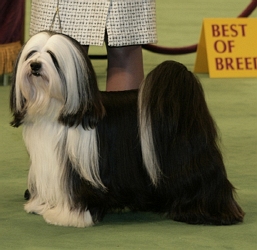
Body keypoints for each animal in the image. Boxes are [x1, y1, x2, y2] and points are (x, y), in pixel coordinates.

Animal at [9, 30, 242, 227]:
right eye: (32, 54)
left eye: (53, 57)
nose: (35, 65)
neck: (55, 108)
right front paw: (42, 206)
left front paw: (68, 216)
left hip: (188, 158)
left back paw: (208, 213)